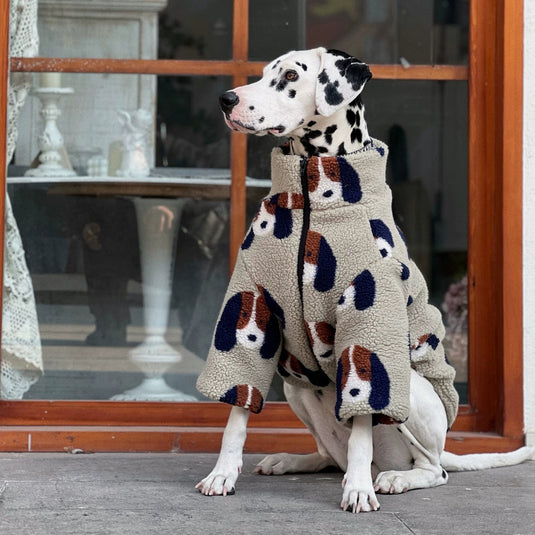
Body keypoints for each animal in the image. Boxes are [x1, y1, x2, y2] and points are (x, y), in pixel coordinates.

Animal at [198, 48, 535, 512]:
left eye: (290, 76)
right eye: (264, 72)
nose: (226, 99)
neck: (312, 185)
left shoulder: (369, 329)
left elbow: (361, 426)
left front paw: (358, 489)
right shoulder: (251, 307)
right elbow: (238, 411)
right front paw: (222, 473)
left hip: (409, 393)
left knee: (433, 469)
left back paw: (392, 478)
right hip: (297, 388)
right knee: (330, 455)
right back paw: (294, 460)